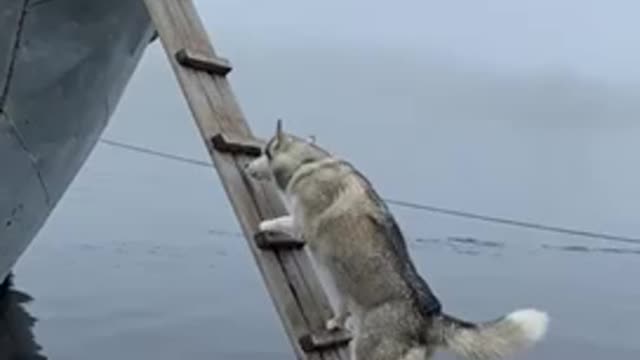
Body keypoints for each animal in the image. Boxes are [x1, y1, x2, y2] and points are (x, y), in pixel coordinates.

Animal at [245, 121, 552, 360]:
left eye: (263, 152)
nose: (247, 165)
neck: (308, 162)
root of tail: (428, 318)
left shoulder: (302, 225)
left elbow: (279, 221)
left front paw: (264, 224)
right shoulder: (338, 283)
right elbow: (341, 311)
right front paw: (335, 323)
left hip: (367, 352)